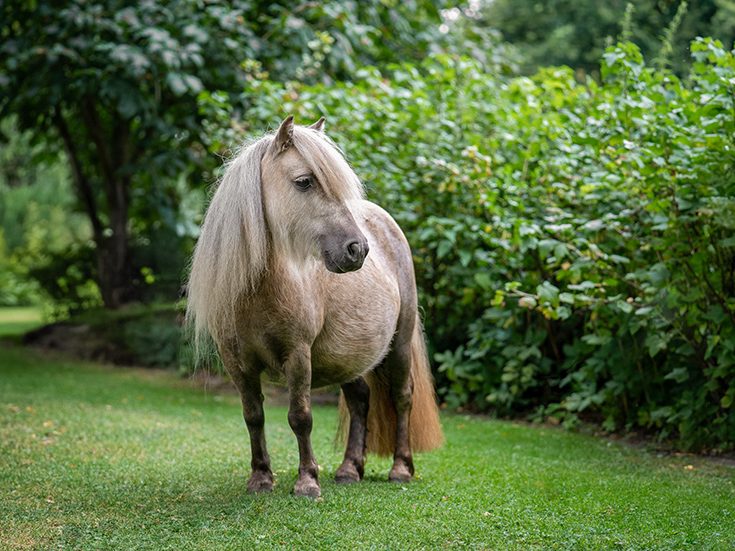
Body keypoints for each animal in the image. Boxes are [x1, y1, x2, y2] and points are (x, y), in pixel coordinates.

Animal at [186, 115, 443, 498]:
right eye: (304, 182)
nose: (358, 249)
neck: (259, 294)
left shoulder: (298, 354)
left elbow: (300, 417)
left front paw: (307, 481)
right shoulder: (237, 363)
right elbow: (253, 416)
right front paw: (261, 477)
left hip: (398, 344)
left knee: (402, 397)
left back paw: (400, 468)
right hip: (349, 357)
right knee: (360, 399)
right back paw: (350, 469)